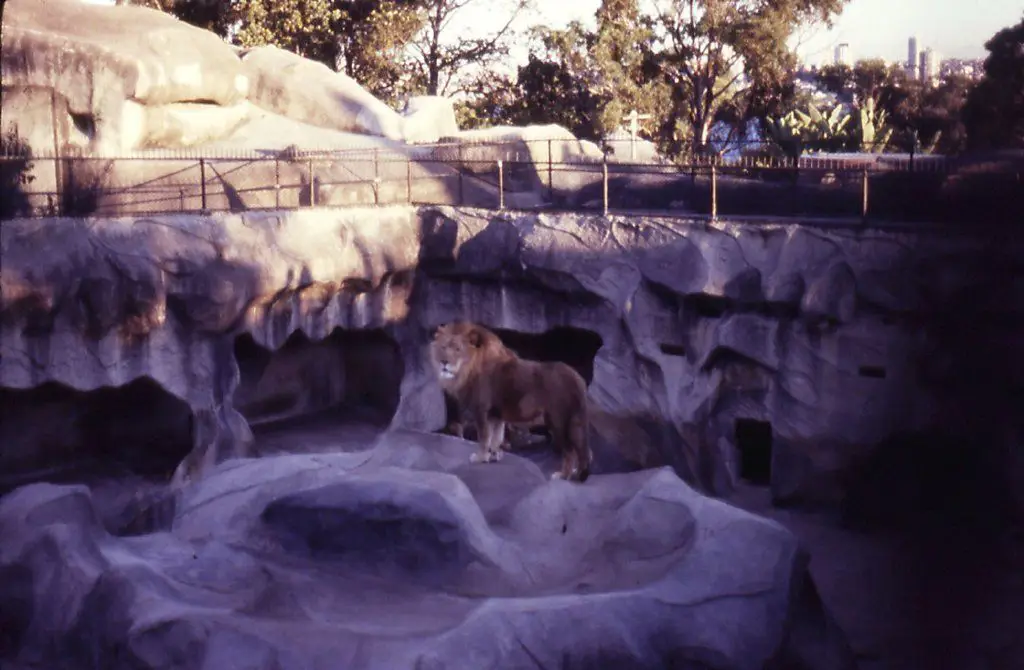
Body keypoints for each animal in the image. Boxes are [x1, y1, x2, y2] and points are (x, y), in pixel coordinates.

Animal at [430, 321, 593, 483]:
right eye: (443, 347)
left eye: (458, 349)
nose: (444, 362)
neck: (467, 370)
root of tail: (577, 379)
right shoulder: (495, 414)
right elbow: (496, 436)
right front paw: (494, 455)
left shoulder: (481, 410)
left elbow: (484, 437)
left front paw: (480, 457)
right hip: (574, 421)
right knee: (583, 450)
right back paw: (576, 472)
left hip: (558, 422)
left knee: (570, 450)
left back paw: (563, 475)